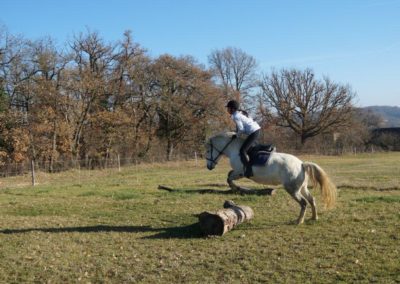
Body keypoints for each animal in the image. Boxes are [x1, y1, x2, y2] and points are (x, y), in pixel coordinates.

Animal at [206, 132, 338, 225]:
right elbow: (228, 176)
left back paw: (298, 221)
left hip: (292, 189)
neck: (235, 149)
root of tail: (301, 164)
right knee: (311, 200)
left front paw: (237, 188)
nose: (209, 167)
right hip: (302, 188)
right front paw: (238, 189)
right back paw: (314, 218)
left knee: (304, 203)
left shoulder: (239, 172)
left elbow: (229, 178)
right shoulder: (237, 172)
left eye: (207, 151)